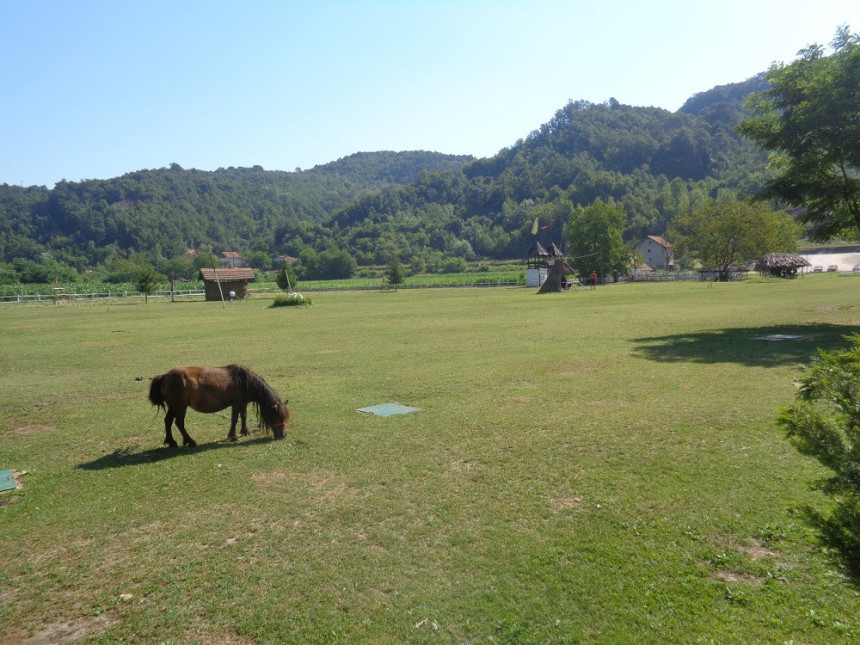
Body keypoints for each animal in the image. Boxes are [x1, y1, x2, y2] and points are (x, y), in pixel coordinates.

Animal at [149, 362, 290, 448]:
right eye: (277, 417)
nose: (284, 435)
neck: (244, 381)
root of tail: (165, 376)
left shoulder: (242, 403)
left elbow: (243, 416)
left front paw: (245, 431)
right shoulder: (236, 404)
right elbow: (234, 419)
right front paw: (233, 436)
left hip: (173, 407)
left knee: (168, 421)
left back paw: (171, 441)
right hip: (180, 407)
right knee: (179, 423)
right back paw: (190, 441)